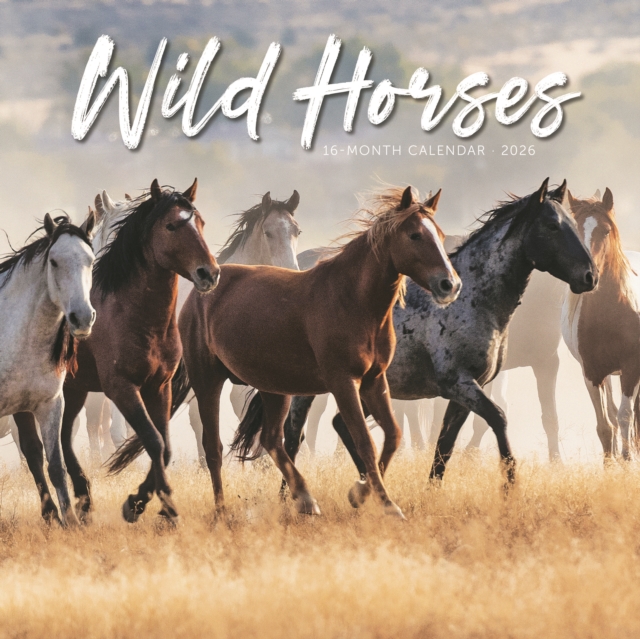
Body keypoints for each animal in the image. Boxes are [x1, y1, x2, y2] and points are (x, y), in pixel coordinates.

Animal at [0, 213, 96, 525]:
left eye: (91, 260)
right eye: (54, 262)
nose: (82, 317)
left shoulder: (48, 404)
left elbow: (54, 465)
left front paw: (69, 521)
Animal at [55, 179, 219, 524]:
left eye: (200, 222)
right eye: (170, 225)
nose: (209, 274)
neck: (131, 313)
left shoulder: (159, 387)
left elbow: (163, 446)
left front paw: (141, 502)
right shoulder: (122, 389)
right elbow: (153, 441)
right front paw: (159, 506)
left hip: (74, 389)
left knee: (64, 436)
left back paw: (84, 497)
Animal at [284, 179, 596, 494]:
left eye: (572, 223)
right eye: (552, 225)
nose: (590, 276)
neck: (475, 298)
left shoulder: (466, 391)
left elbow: (445, 446)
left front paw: (431, 493)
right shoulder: (459, 383)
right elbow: (498, 419)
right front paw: (510, 487)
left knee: (340, 427)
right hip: (307, 392)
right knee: (293, 435)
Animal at [562, 188, 640, 459]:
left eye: (606, 231)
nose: (588, 273)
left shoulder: (631, 368)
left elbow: (626, 417)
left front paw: (627, 460)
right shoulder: (592, 373)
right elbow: (605, 426)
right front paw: (611, 464)